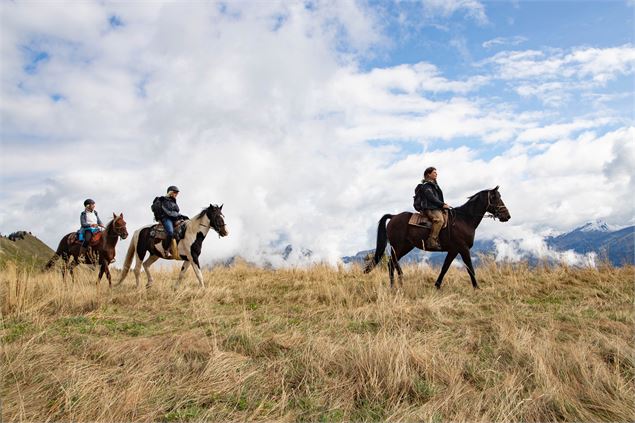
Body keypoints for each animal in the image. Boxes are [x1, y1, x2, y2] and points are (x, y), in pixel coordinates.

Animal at [366, 187, 510, 290]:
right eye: (495, 198)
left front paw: (437, 285)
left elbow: (445, 267)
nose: (507, 216)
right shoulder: (463, 249)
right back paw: (398, 283)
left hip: (405, 246)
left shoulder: (453, 250)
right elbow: (470, 267)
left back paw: (396, 285)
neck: (464, 219)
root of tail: (393, 216)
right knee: (392, 263)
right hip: (399, 246)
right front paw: (477, 287)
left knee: (392, 263)